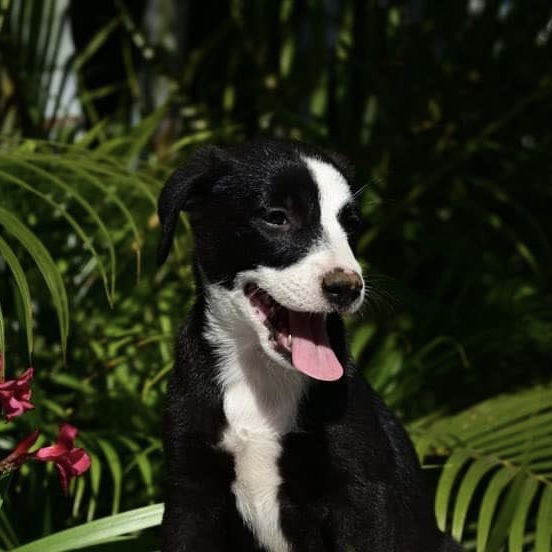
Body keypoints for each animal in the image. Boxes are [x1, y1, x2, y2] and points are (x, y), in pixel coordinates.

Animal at [156, 140, 462, 548]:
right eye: (277, 217)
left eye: (351, 224)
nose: (346, 287)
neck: (261, 375)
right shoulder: (190, 494)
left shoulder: (362, 495)